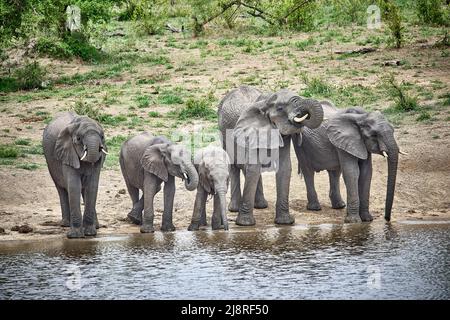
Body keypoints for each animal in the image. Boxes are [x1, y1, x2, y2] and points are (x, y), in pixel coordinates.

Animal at [218, 85, 324, 225]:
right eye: (280, 108)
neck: (265, 104)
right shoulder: (253, 132)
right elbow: (253, 168)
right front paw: (245, 223)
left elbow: (284, 167)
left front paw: (285, 222)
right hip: (223, 132)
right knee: (234, 165)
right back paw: (234, 209)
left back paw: (261, 205)